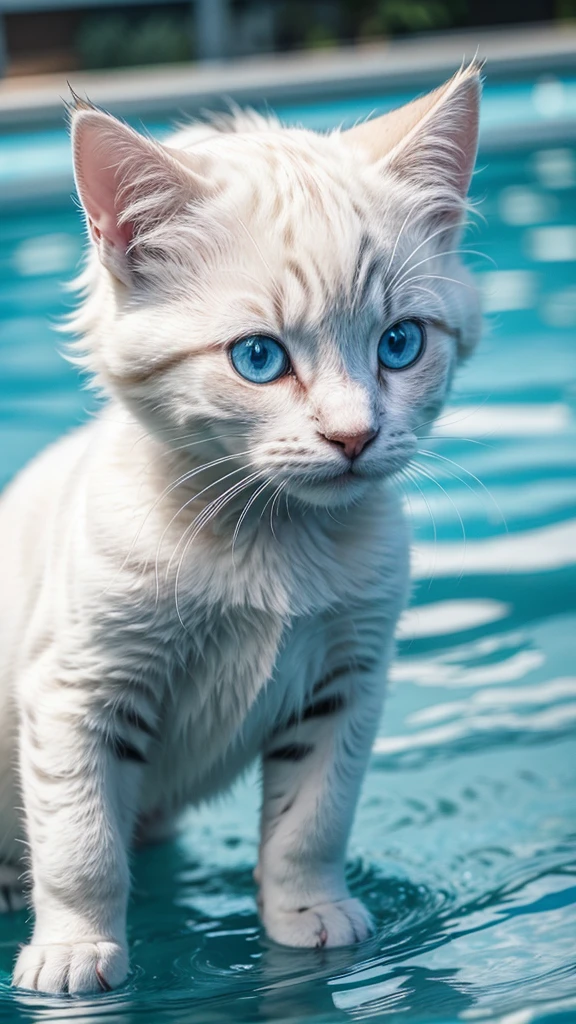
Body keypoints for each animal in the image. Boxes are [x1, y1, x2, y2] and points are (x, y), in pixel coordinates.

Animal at [0, 64, 479, 991]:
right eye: (259, 358)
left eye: (400, 344)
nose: (355, 437)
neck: (270, 537)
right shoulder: (76, 688)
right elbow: (81, 844)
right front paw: (75, 950)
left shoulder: (348, 680)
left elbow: (311, 821)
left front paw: (309, 914)